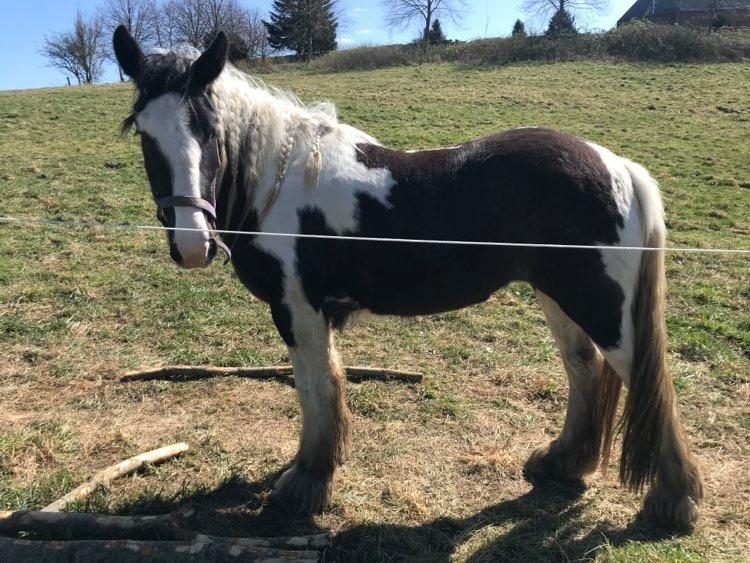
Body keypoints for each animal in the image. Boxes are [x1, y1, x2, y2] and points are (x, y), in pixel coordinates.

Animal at [113, 27, 704, 532]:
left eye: (208, 127)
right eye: (143, 132)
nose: (193, 244)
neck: (279, 183)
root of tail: (618, 165)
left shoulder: (298, 310)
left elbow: (315, 390)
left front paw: (305, 483)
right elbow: (328, 386)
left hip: (601, 308)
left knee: (647, 383)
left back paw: (673, 502)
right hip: (558, 297)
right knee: (586, 372)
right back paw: (562, 463)